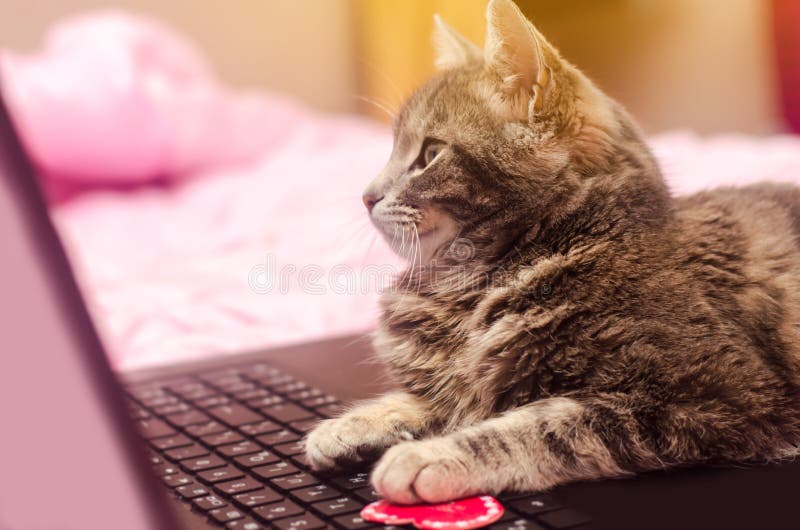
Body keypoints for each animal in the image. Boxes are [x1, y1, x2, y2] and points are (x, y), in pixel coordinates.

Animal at [304, 0, 800, 504]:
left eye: (431, 154)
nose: (367, 196)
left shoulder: (714, 396)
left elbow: (542, 425)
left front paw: (432, 455)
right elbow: (441, 398)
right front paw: (357, 422)